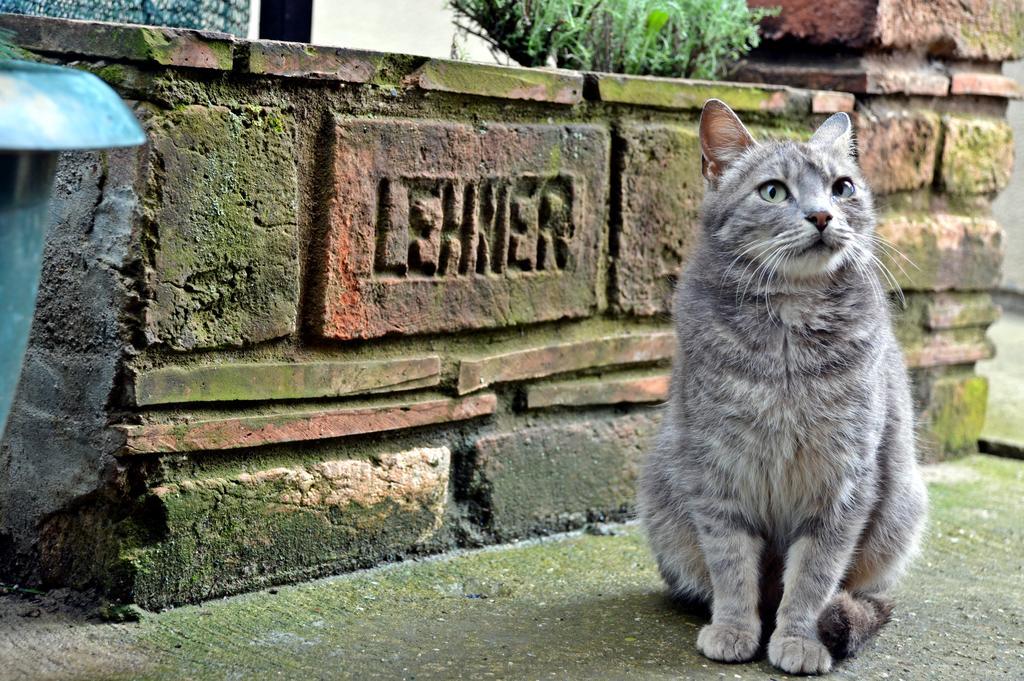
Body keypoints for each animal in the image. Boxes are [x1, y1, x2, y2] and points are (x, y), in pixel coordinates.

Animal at [643, 99, 933, 675]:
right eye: (773, 191)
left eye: (842, 187)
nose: (822, 215)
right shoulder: (717, 471)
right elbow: (731, 566)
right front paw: (734, 629)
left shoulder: (843, 480)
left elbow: (813, 577)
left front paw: (799, 639)